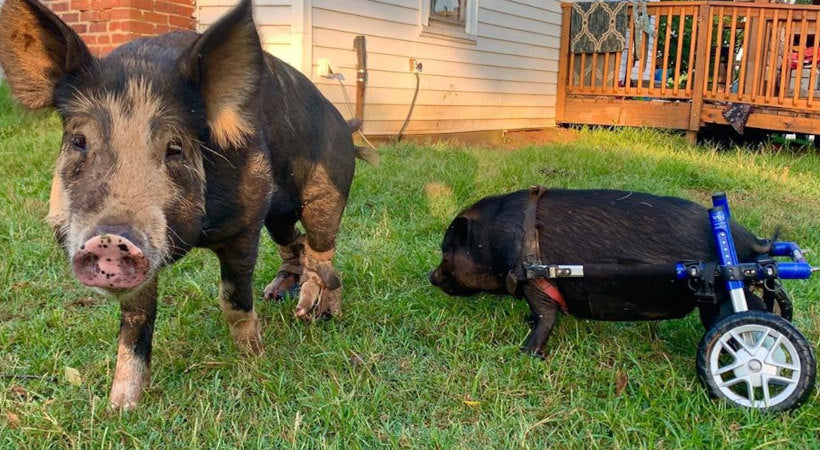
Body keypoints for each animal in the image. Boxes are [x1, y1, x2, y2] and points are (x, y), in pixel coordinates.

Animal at [0, 0, 374, 410]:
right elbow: (135, 324)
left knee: (323, 255)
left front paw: (256, 360)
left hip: (326, 194)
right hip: (279, 215)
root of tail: (347, 125)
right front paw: (120, 408)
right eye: (79, 141)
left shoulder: (246, 223)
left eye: (175, 147)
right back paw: (277, 295)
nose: (110, 239)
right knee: (296, 244)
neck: (198, 237)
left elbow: (233, 300)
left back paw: (317, 314)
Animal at [430, 188, 776, 356]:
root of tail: (747, 240)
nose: (430, 276)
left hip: (726, 290)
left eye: (447, 250)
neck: (494, 244)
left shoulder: (536, 283)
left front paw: (525, 353)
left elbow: (545, 319)